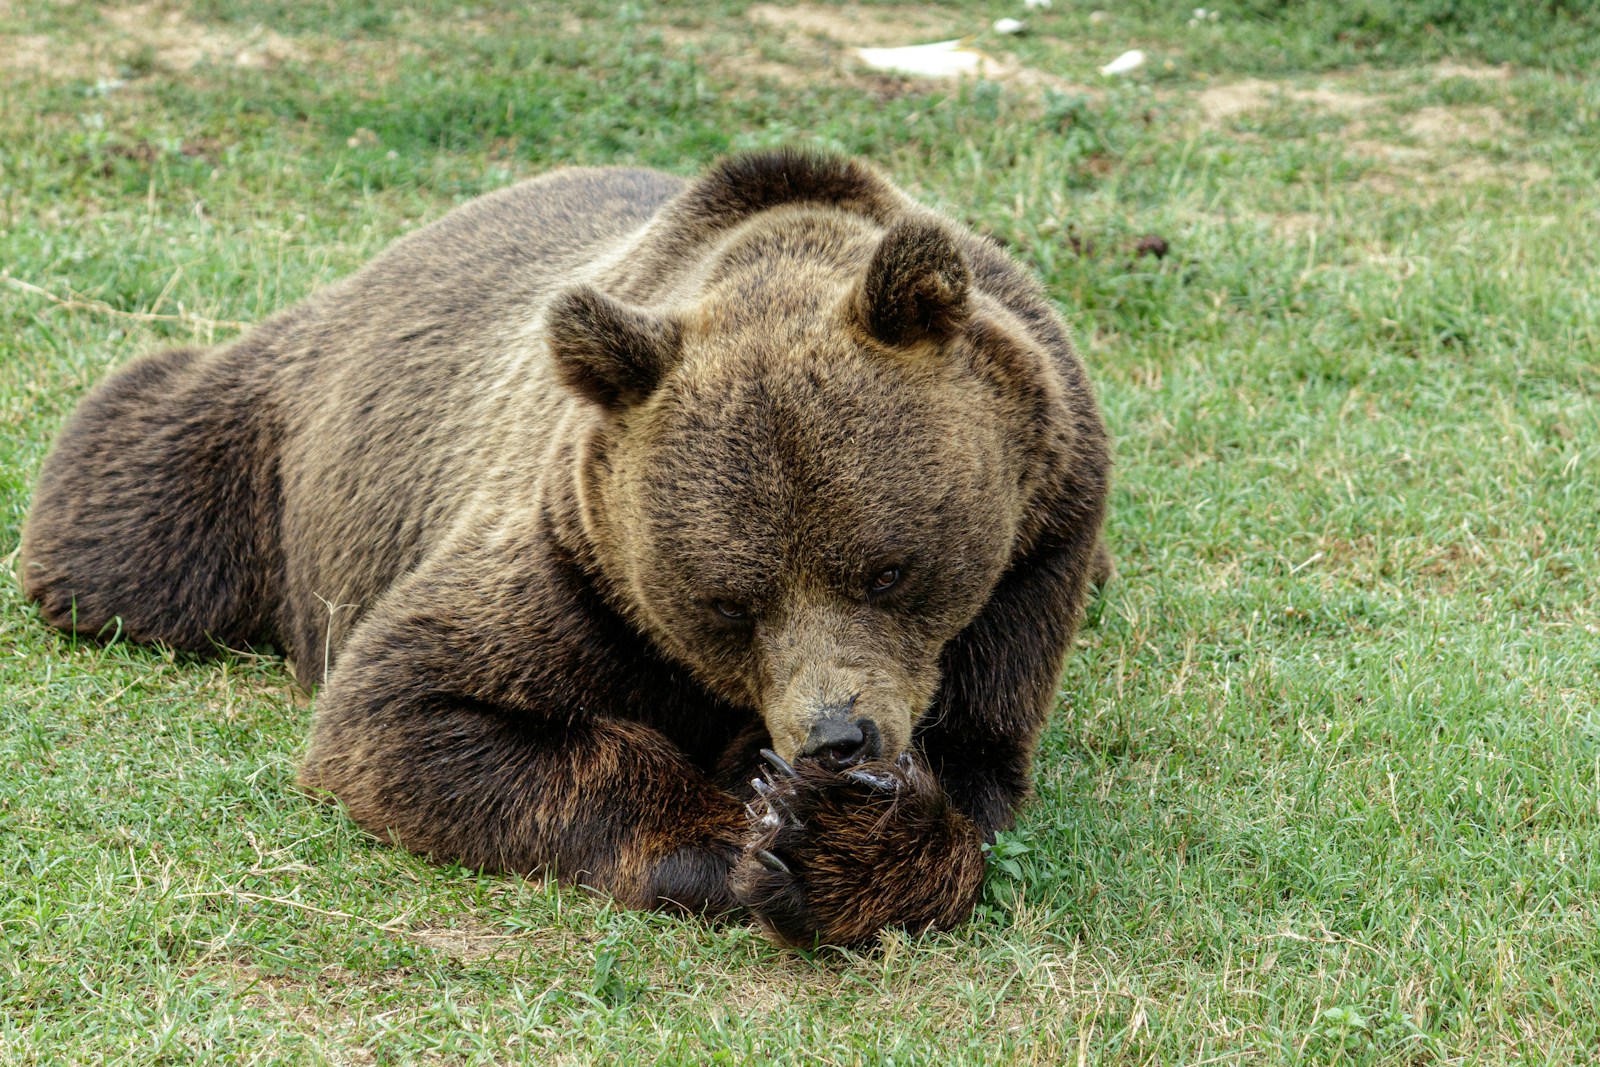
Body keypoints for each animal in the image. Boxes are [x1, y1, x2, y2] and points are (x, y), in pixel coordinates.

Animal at [18, 150, 1111, 947]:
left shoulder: (1036, 549)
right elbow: (413, 710)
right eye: (729, 601)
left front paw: (839, 835)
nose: (836, 737)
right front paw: (763, 829)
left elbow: (976, 764)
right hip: (271, 441)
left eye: (888, 568)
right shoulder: (575, 559)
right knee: (131, 512)